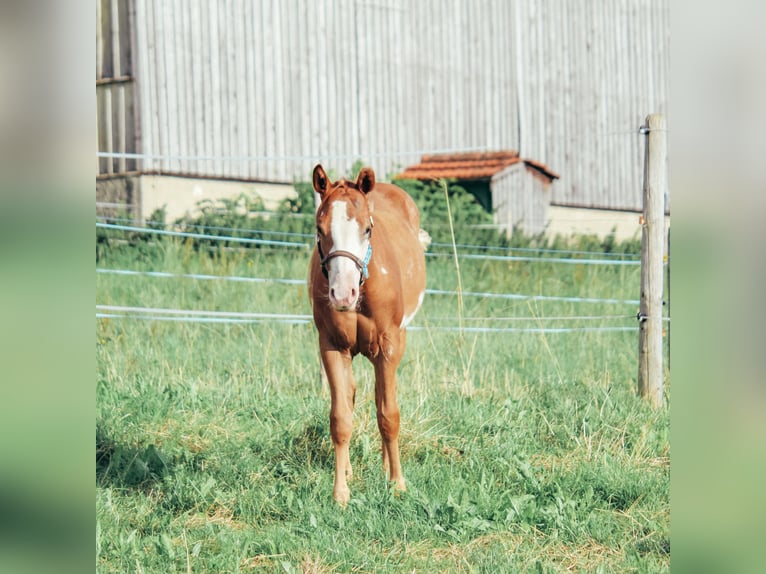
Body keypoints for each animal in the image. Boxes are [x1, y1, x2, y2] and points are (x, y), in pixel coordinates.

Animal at [312, 164, 432, 506]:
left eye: (367, 229)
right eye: (319, 229)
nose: (342, 294)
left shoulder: (388, 346)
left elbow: (388, 415)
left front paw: (397, 483)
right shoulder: (332, 346)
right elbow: (340, 418)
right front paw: (340, 492)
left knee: (383, 400)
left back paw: (385, 466)